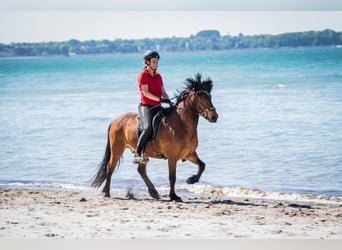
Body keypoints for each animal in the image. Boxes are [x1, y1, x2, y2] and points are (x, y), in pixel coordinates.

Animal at [91, 73, 219, 202]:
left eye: (209, 95)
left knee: (141, 171)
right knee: (110, 167)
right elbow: (172, 177)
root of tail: (115, 121)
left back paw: (153, 192)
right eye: (200, 96)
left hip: (143, 153)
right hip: (117, 149)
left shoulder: (189, 153)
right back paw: (106, 192)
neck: (181, 123)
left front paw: (191, 180)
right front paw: (174, 196)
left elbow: (202, 165)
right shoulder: (172, 156)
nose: (214, 117)